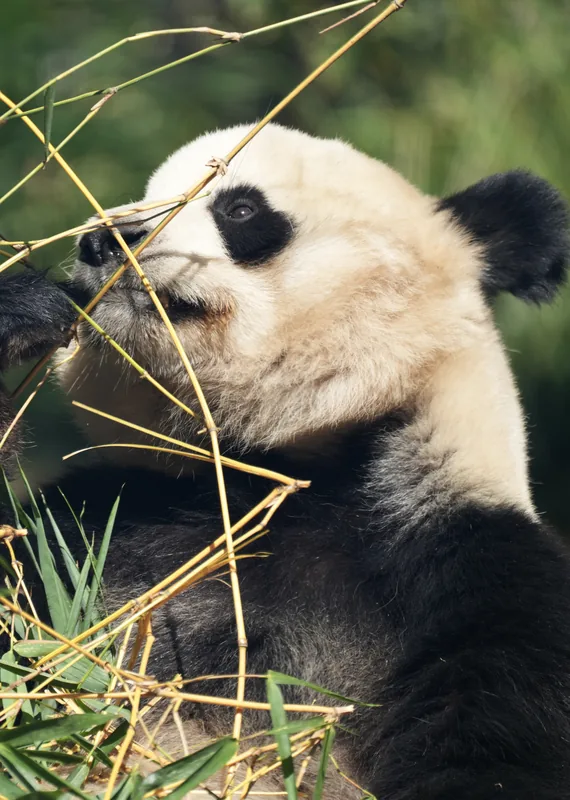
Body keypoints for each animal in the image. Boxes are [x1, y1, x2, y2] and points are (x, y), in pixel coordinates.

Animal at [2, 122, 570, 799]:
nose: (101, 241)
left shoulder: (473, 571)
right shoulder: (102, 520)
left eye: (240, 208)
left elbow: (498, 747)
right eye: (146, 193)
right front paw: (21, 311)